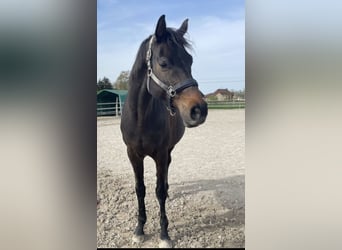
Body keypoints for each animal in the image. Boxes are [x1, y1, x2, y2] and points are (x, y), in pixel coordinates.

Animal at [120, 15, 207, 248]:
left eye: (190, 61)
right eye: (164, 63)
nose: (199, 110)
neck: (141, 118)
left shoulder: (159, 154)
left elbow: (159, 191)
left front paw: (164, 234)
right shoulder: (133, 154)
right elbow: (140, 188)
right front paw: (139, 229)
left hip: (169, 150)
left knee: (167, 171)